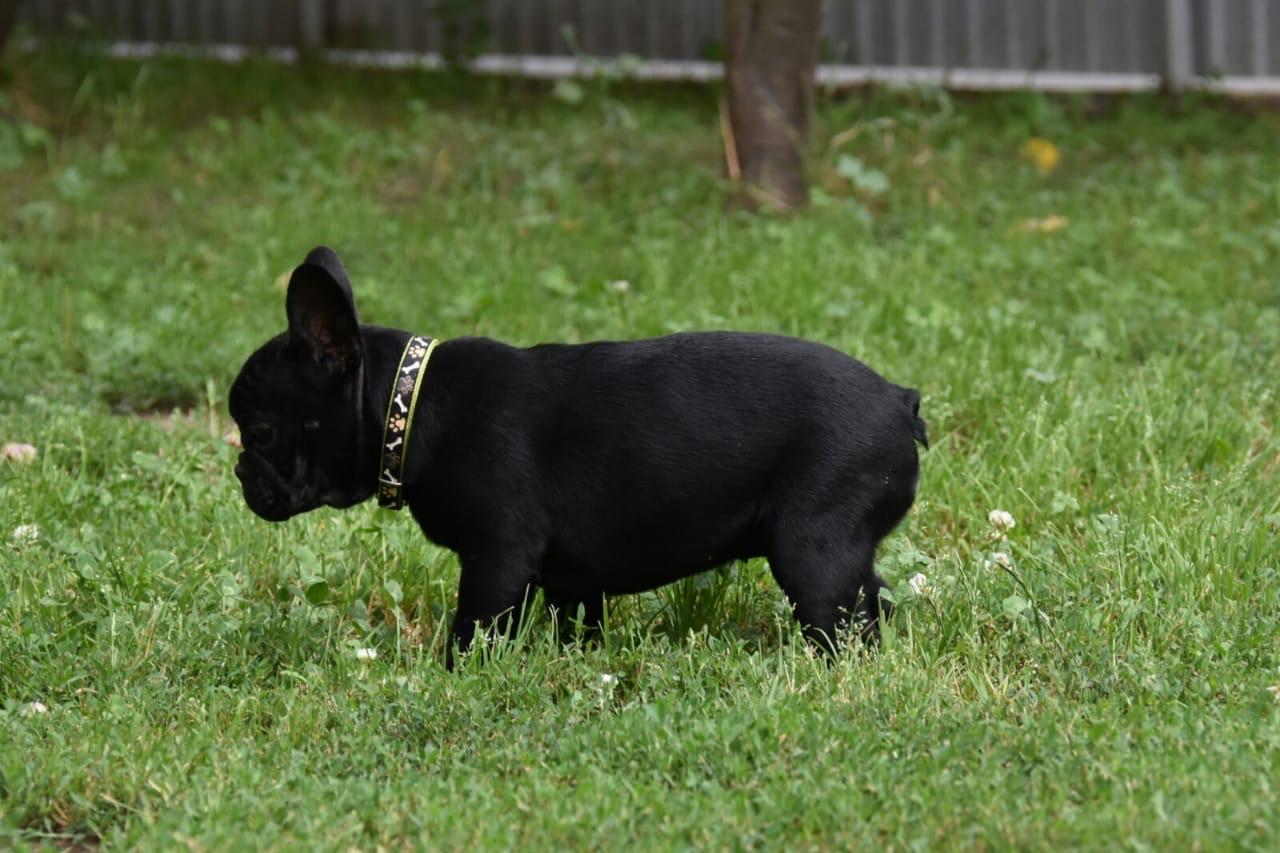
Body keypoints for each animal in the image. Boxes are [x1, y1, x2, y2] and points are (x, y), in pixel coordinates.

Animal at [230, 245, 926, 666]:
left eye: (259, 433)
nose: (239, 471)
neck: (415, 402)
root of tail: (901, 401)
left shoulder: (496, 560)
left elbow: (474, 630)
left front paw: (453, 675)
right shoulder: (573, 579)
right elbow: (579, 626)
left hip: (813, 550)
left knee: (844, 625)